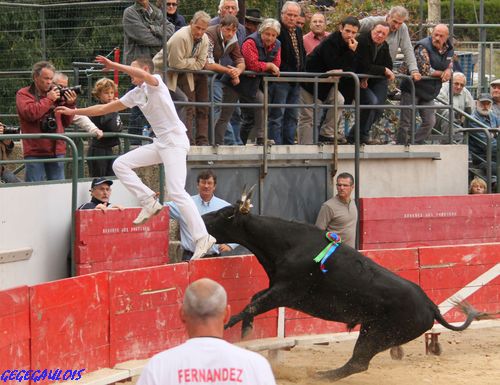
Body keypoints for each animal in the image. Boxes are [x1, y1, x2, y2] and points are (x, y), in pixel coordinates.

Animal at [202, 200, 488, 380]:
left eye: (223, 215)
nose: (201, 218)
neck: (288, 243)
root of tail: (431, 305)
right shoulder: (276, 289)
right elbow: (252, 302)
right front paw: (246, 334)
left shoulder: (285, 291)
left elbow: (250, 305)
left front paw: (224, 329)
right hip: (372, 330)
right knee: (357, 362)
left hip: (378, 334)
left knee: (358, 362)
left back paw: (318, 376)